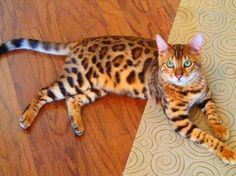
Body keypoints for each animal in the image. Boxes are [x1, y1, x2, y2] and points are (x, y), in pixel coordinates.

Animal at [0, 33, 235, 164]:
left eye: (187, 63)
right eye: (170, 64)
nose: (178, 74)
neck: (188, 88)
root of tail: (82, 41)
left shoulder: (206, 95)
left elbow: (213, 113)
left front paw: (221, 129)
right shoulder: (179, 120)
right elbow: (204, 136)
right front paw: (226, 151)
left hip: (97, 87)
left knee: (72, 100)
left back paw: (77, 124)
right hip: (77, 79)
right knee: (43, 92)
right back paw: (27, 118)